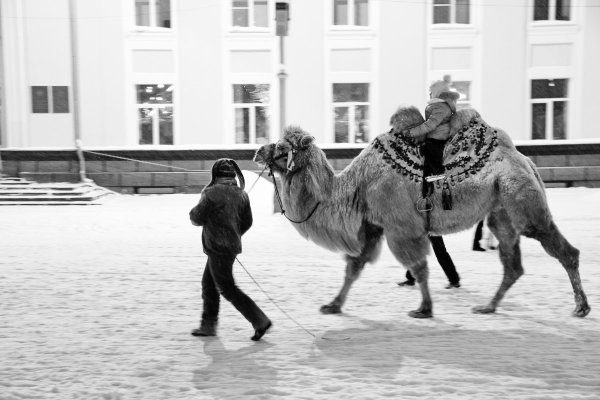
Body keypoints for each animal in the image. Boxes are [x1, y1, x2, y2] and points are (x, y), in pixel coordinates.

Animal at [253, 106, 592, 318]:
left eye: (282, 148)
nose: (257, 151)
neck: (354, 187)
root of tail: (528, 161)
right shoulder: (373, 225)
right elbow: (354, 267)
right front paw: (332, 306)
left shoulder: (400, 227)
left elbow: (418, 267)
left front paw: (424, 309)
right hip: (500, 211)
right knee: (513, 265)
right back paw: (488, 307)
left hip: (520, 200)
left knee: (563, 249)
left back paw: (580, 307)